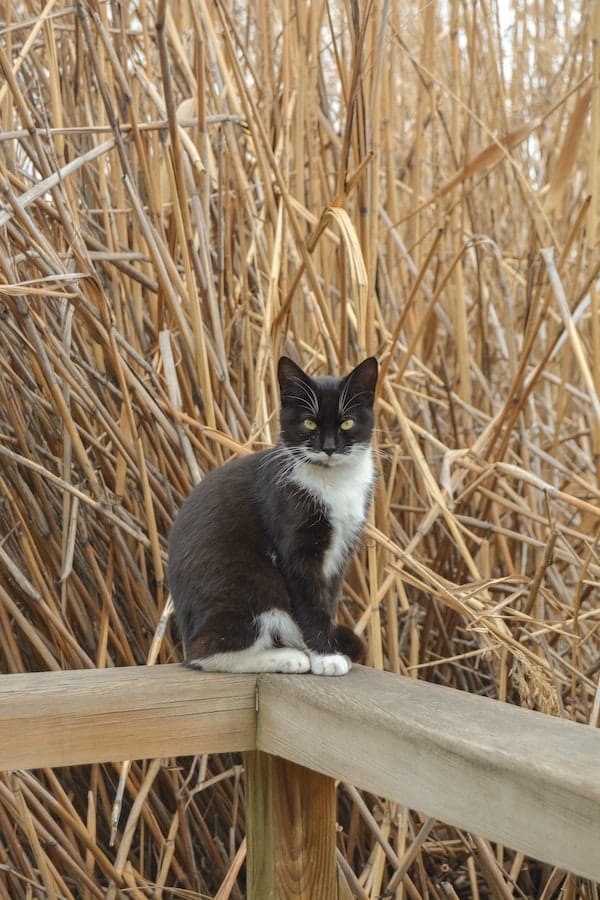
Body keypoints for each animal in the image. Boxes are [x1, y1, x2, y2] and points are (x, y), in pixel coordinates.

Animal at [166, 356, 378, 672]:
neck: (334, 483)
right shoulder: (295, 538)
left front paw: (324, 648)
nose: (328, 447)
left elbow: (327, 600)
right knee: (206, 653)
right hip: (252, 581)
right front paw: (325, 657)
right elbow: (310, 601)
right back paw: (288, 657)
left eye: (347, 421)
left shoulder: (342, 548)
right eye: (309, 421)